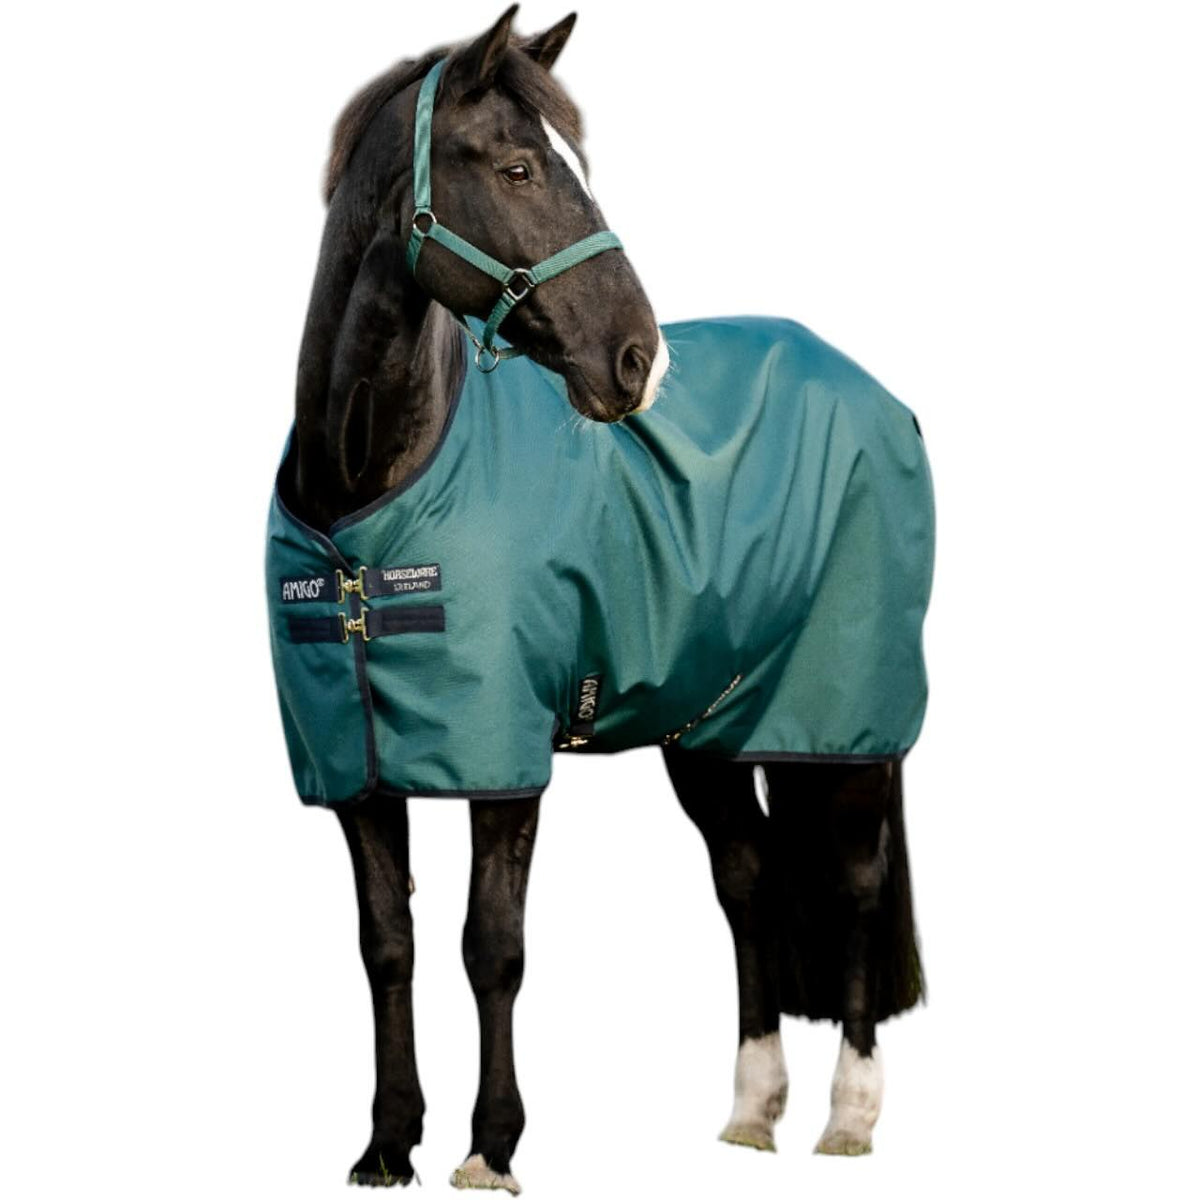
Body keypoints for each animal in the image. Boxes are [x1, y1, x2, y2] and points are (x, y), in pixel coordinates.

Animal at [268, 7, 933, 1191]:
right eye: (519, 167)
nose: (636, 361)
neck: (366, 506)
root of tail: (879, 395)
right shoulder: (355, 767)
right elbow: (387, 944)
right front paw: (387, 1143)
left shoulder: (503, 756)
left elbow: (493, 946)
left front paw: (490, 1146)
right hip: (711, 727)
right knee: (748, 878)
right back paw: (752, 1109)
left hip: (847, 720)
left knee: (855, 886)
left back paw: (849, 1117)